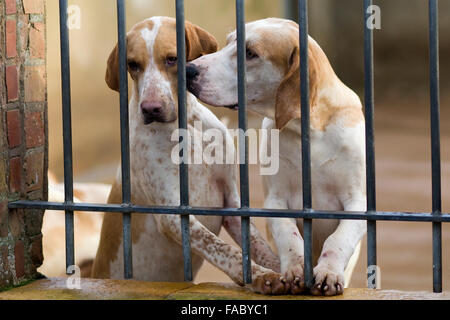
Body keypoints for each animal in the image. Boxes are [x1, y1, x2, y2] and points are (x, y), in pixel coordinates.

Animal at [92, 16, 290, 294]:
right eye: (133, 65)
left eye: (172, 59)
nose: (151, 108)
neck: (185, 127)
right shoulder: (174, 216)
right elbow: (223, 249)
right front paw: (262, 276)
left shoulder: (231, 199)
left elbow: (256, 243)